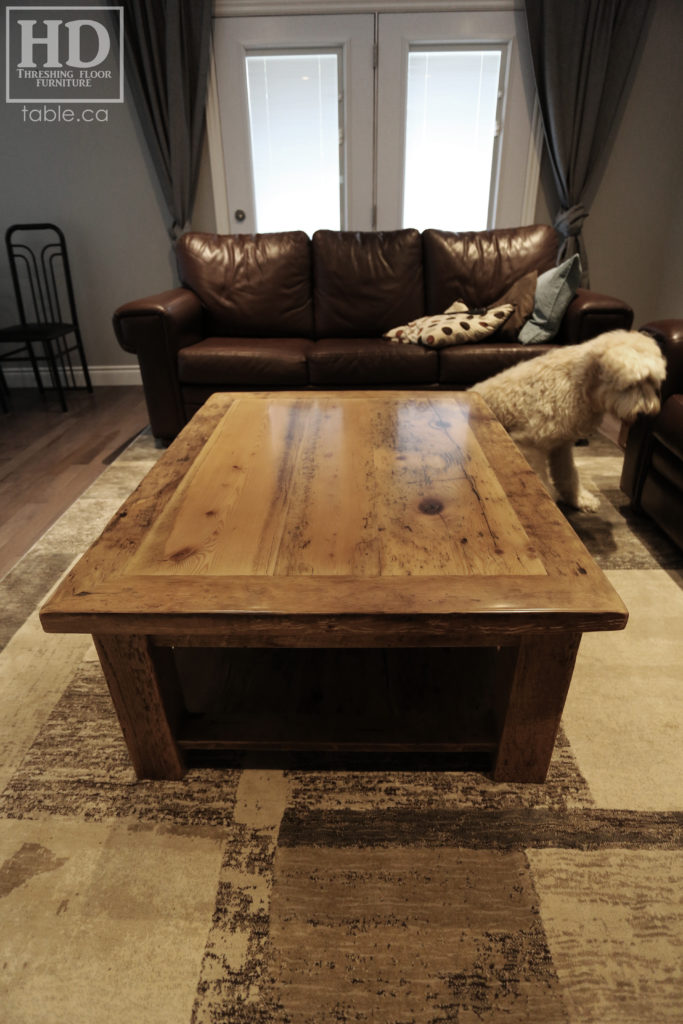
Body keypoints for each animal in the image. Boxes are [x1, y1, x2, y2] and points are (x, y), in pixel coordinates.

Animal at [473, 329, 663, 512]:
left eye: (652, 382)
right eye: (632, 384)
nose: (647, 413)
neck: (577, 384)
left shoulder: (561, 445)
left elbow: (569, 475)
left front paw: (580, 499)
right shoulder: (528, 445)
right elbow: (540, 479)